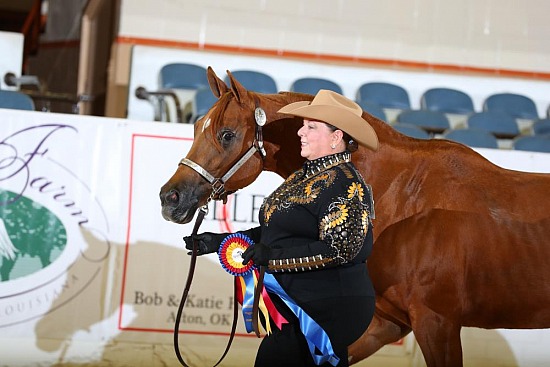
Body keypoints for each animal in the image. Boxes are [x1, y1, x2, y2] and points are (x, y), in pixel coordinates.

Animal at [160, 67, 550, 366]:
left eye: (226, 135)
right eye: (196, 126)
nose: (169, 197)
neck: (404, 195)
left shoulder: (437, 322)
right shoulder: (389, 323)